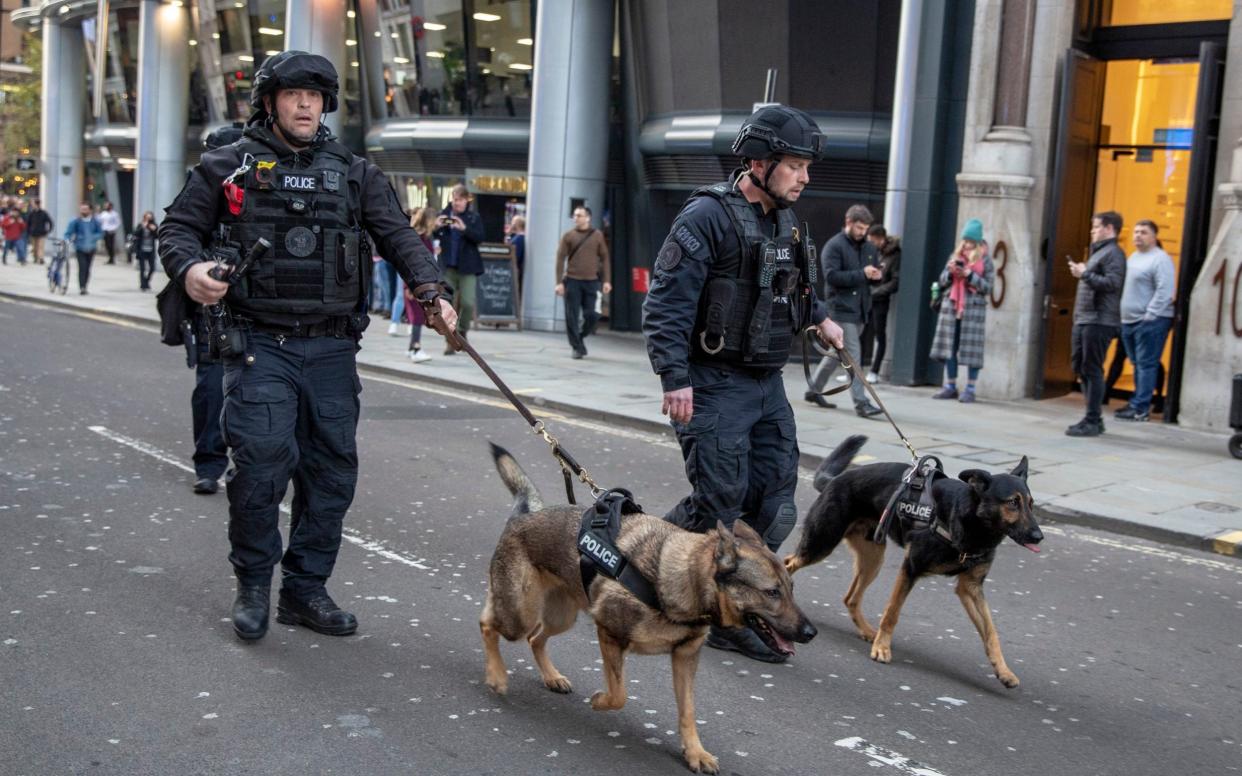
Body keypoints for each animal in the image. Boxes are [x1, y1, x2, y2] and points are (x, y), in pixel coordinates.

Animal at [476, 444, 814, 769]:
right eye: (771, 592)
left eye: (791, 589)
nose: (811, 633)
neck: (682, 579)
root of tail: (522, 517)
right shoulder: (610, 634)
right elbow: (619, 694)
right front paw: (599, 701)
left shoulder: (685, 658)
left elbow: (688, 712)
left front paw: (695, 753)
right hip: (520, 614)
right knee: (488, 622)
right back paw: (496, 675)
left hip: (562, 616)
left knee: (535, 638)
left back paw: (551, 677)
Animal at [784, 437, 1038, 685]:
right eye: (1012, 502)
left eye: (1031, 503)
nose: (1038, 536)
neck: (970, 524)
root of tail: (835, 480)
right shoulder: (910, 569)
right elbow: (892, 613)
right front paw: (882, 648)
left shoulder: (970, 587)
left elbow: (991, 631)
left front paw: (1003, 670)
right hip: (820, 544)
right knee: (788, 562)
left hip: (873, 559)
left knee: (850, 598)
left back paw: (867, 631)